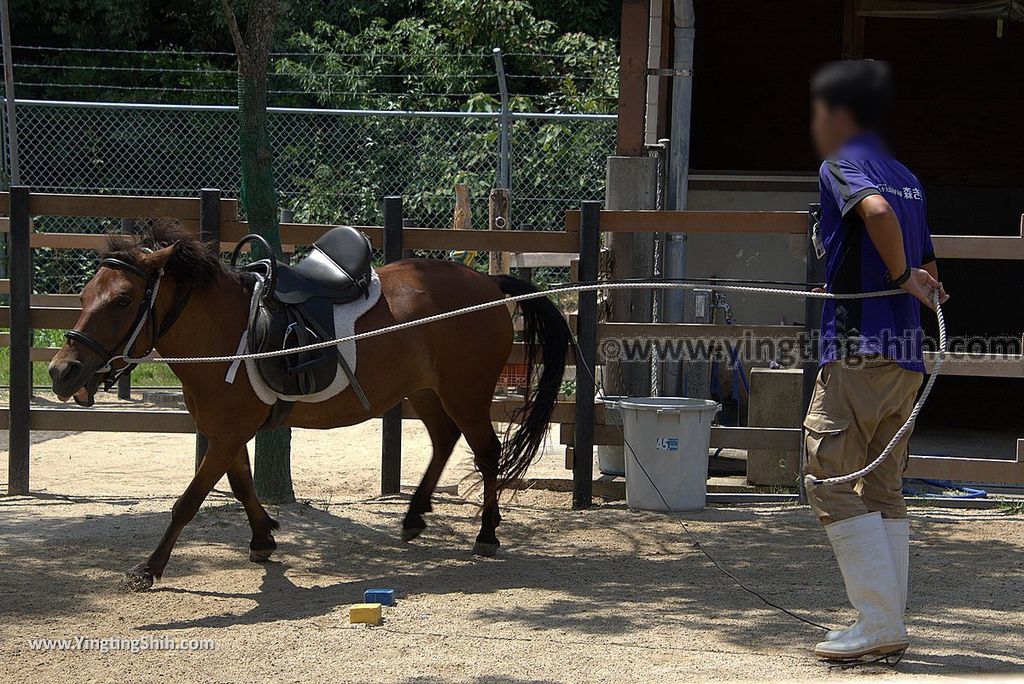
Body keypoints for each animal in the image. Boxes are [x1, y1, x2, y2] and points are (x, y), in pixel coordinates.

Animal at [48, 223, 573, 589]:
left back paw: (486, 533)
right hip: (423, 392)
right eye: (85, 295)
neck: (223, 330)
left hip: (466, 393)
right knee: (445, 440)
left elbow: (188, 502)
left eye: (122, 300)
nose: (61, 372)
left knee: (486, 452)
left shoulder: (227, 433)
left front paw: (149, 568)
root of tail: (486, 283)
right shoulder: (228, 432)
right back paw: (414, 517)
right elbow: (241, 485)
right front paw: (263, 537)